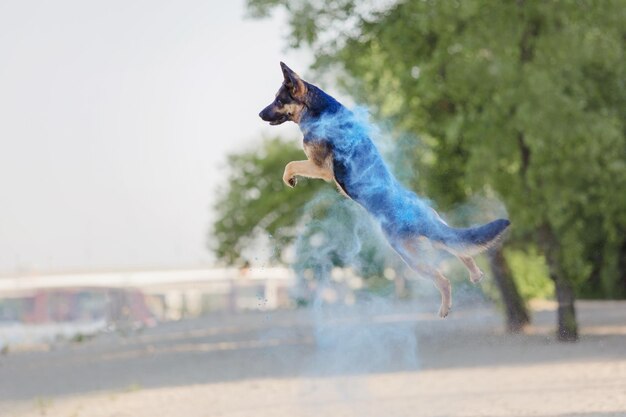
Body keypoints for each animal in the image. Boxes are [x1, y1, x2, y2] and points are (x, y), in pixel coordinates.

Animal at [258, 61, 508, 316]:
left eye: (279, 100)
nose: (259, 114)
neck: (318, 109)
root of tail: (417, 216)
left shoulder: (319, 167)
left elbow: (290, 164)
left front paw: (289, 179)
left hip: (409, 256)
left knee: (443, 279)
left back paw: (444, 308)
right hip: (437, 234)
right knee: (460, 250)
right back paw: (475, 275)